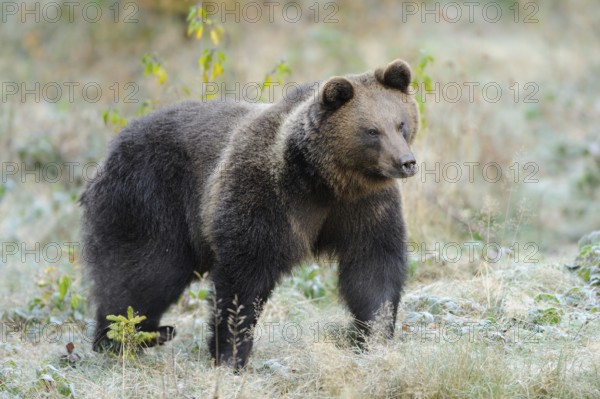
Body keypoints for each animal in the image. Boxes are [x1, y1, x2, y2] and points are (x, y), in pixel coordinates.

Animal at [78, 58, 418, 368]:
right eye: (371, 131)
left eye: (401, 123)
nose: (406, 162)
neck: (321, 181)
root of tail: (109, 152)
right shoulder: (264, 197)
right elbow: (243, 276)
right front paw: (230, 354)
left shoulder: (364, 206)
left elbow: (373, 268)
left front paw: (375, 337)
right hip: (148, 198)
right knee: (143, 272)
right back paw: (121, 338)